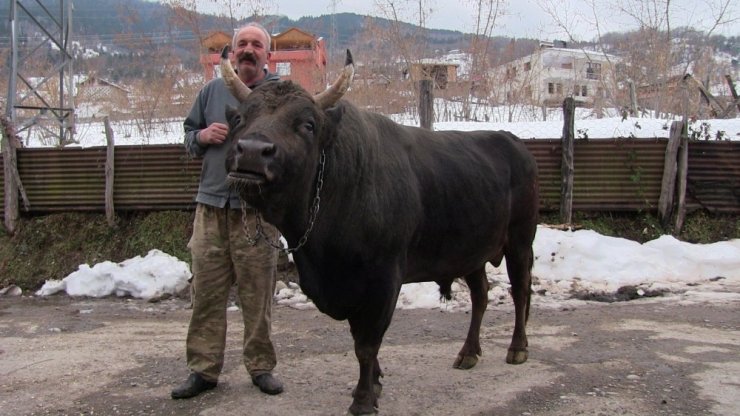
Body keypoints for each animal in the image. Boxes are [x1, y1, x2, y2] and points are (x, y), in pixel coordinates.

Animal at [220, 49, 536, 416]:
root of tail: (510, 140)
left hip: (520, 241)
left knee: (520, 290)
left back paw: (518, 348)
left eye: (308, 125)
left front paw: (363, 398)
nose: (252, 151)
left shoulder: (383, 280)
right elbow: (362, 340)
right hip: (472, 252)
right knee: (481, 296)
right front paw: (377, 382)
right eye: (240, 119)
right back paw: (468, 352)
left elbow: (366, 344)